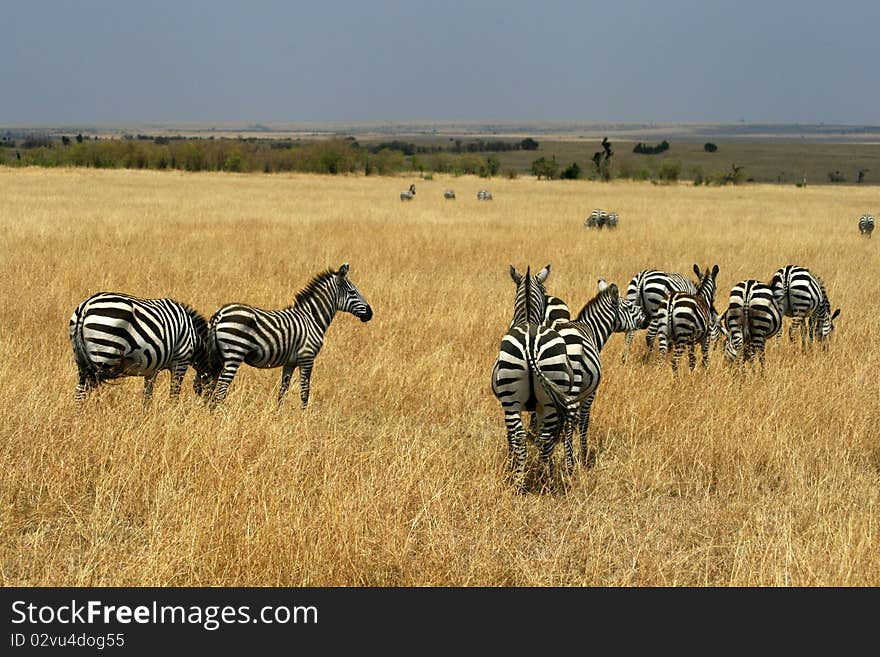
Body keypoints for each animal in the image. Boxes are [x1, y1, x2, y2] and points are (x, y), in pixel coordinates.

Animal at [68, 294, 211, 404]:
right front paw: (174, 417)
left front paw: (146, 417)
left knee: (79, 391)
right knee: (83, 391)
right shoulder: (180, 361)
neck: (193, 336)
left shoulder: (152, 368)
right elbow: (174, 395)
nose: (212, 412)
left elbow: (147, 396)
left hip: (81, 360)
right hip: (103, 353)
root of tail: (86, 306)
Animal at [208, 264, 372, 408]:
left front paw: (278, 415)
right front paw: (304, 417)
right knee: (221, 389)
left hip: (219, 356)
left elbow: (283, 391)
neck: (311, 319)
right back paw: (222, 414)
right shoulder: (307, 357)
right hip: (235, 352)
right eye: (352, 292)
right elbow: (305, 392)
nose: (370, 313)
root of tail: (220, 314)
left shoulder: (290, 363)